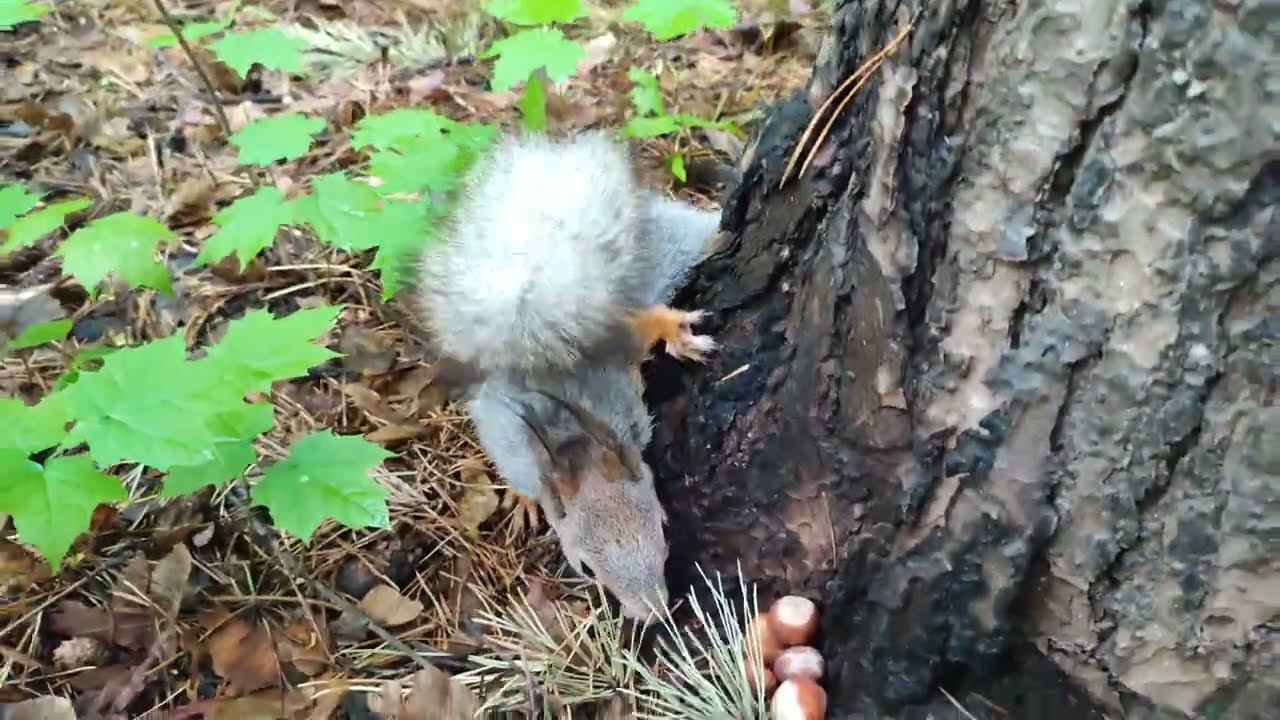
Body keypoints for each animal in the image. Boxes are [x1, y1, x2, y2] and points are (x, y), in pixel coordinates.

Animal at [419, 131, 721, 620]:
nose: (653, 614)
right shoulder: (509, 438)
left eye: (662, 526)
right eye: (586, 568)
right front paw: (526, 500)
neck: (574, 440)